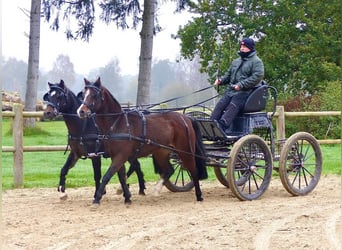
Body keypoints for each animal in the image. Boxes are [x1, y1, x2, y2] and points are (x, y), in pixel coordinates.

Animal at [76, 77, 207, 204]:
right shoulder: (116, 156)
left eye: (94, 95)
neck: (118, 123)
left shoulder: (121, 155)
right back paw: (157, 189)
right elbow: (121, 176)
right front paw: (127, 198)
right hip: (161, 152)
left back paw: (199, 195)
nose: (81, 111)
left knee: (193, 170)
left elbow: (107, 175)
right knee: (169, 170)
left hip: (185, 150)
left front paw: (97, 198)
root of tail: (186, 118)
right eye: (83, 94)